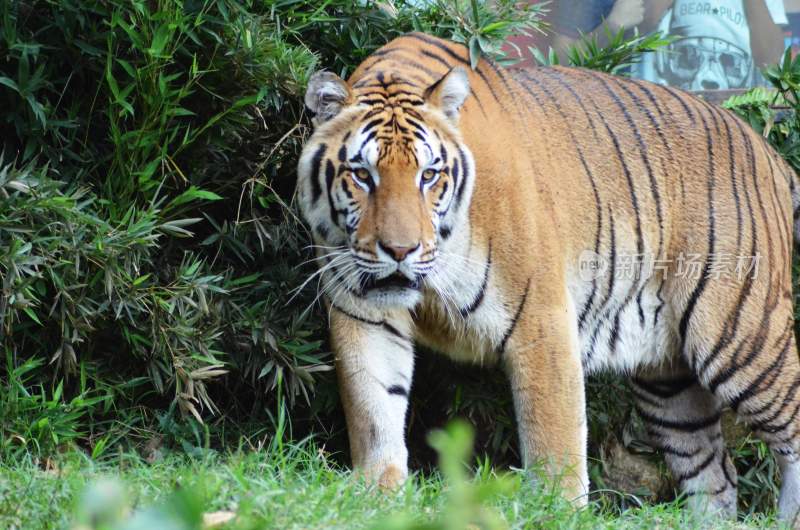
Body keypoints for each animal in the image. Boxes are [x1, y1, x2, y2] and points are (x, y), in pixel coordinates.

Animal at [296, 32, 800, 520]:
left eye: (429, 175)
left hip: (739, 335)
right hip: (670, 383)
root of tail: (769, 152)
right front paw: (377, 495)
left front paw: (558, 510)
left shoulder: (540, 318)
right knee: (716, 475)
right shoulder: (363, 313)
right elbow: (373, 406)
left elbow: (552, 432)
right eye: (363, 175)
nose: (400, 251)